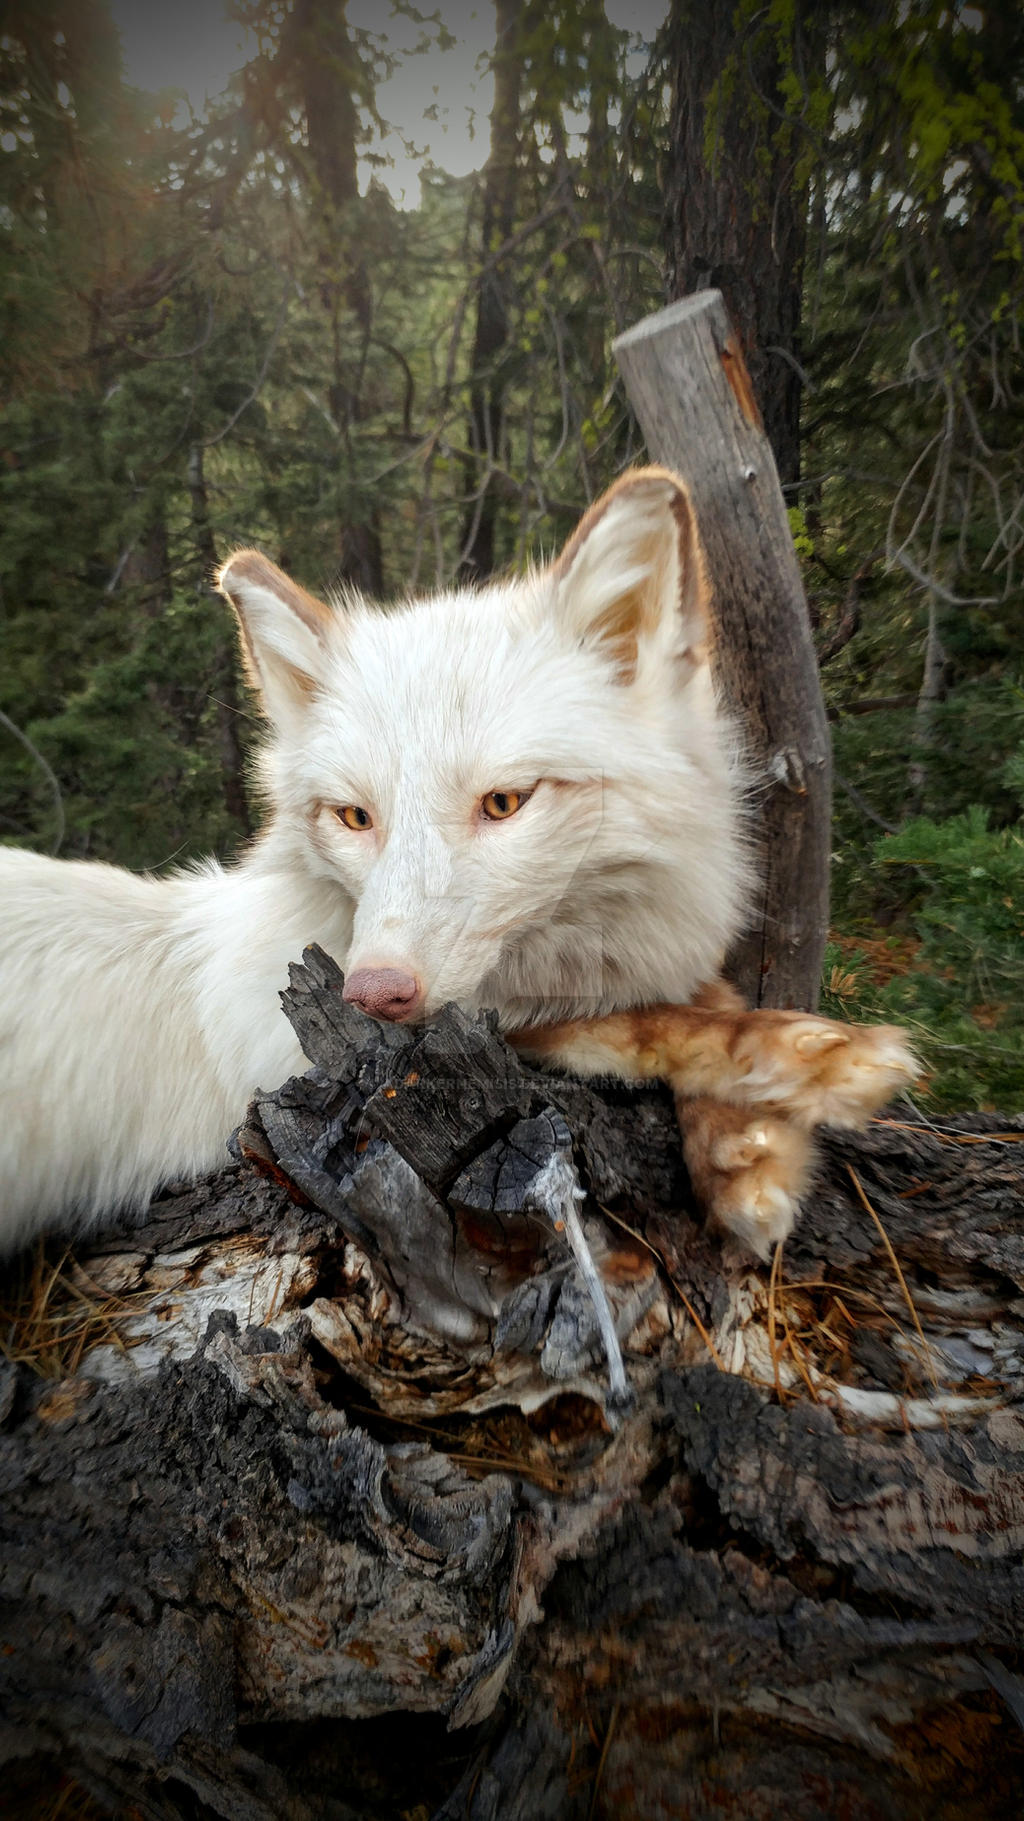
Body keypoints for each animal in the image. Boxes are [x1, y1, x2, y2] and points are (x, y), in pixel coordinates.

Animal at [0, 469, 911, 1260]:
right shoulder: (306, 1057)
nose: (374, 991)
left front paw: (749, 1144)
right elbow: (629, 1017)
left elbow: (696, 999)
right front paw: (819, 1058)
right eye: (355, 816)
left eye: (503, 803)